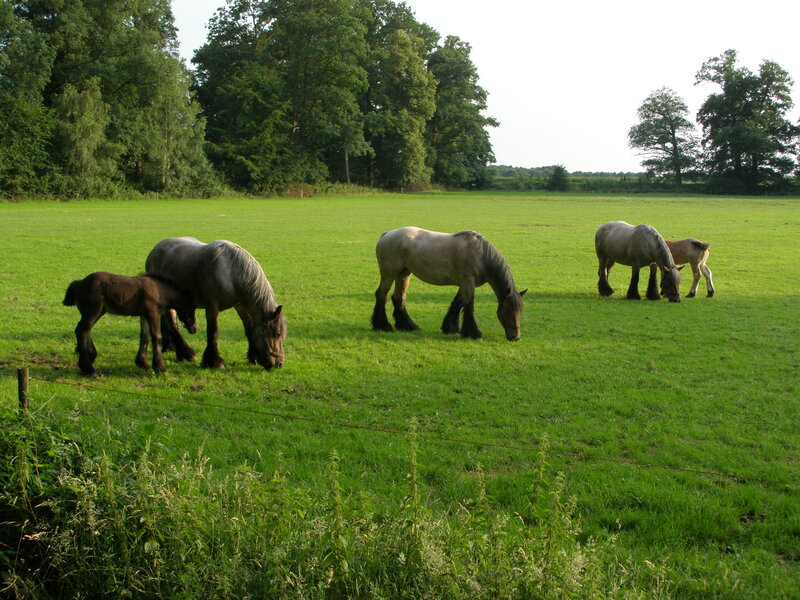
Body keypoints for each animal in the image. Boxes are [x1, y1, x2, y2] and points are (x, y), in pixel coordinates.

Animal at [62, 272, 197, 376]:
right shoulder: (153, 313)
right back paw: (88, 369)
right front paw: (160, 367)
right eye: (192, 309)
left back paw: (91, 357)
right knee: (81, 331)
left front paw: (143, 363)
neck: (160, 290)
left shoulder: (144, 315)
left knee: (86, 331)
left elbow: (145, 336)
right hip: (92, 312)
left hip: (98, 312)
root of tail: (80, 283)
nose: (194, 328)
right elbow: (156, 337)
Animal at [145, 237, 286, 370]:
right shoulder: (212, 307)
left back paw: (170, 347)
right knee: (172, 325)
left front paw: (253, 356)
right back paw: (186, 353)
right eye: (276, 334)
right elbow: (213, 332)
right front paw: (214, 362)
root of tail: (155, 250)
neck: (230, 270)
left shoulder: (240, 305)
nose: (279, 364)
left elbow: (249, 328)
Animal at [371, 227, 527, 341]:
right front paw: (473, 333)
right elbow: (468, 306)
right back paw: (382, 326)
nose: (515, 337)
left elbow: (457, 304)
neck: (481, 255)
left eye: (521, 311)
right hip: (389, 275)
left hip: (403, 274)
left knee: (398, 297)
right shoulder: (468, 282)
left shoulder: (464, 284)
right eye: (507, 311)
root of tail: (387, 234)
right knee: (382, 295)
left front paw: (451, 328)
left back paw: (407, 326)